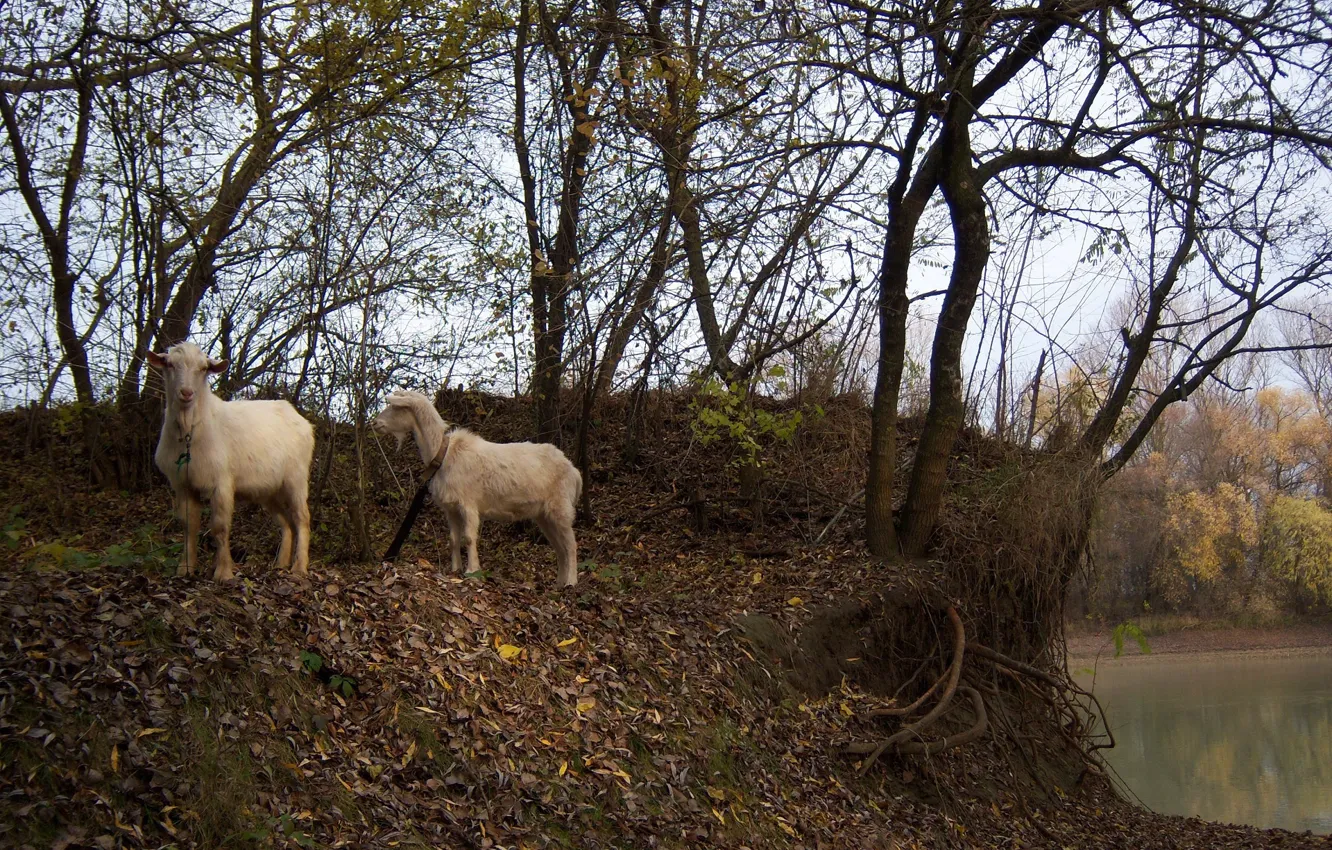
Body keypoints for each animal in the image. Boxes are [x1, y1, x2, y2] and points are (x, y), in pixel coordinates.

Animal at [149, 343, 315, 583]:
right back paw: (280, 564)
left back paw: (299, 568)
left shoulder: (222, 482)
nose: (186, 393)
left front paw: (224, 572)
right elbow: (189, 524)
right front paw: (185, 569)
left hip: (296, 478)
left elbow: (219, 526)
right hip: (268, 490)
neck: (191, 429)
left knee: (302, 519)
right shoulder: (183, 484)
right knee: (286, 523)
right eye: (169, 364)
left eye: (203, 368)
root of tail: (301, 420)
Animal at [375, 391, 583, 586]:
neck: (443, 454)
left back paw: (571, 582)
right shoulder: (451, 508)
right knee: (559, 547)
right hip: (544, 515)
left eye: (396, 407)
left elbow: (468, 537)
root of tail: (574, 471)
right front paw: (455, 569)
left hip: (561, 507)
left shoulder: (468, 504)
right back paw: (559, 582)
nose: (376, 423)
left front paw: (472, 572)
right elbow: (453, 538)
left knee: (571, 545)